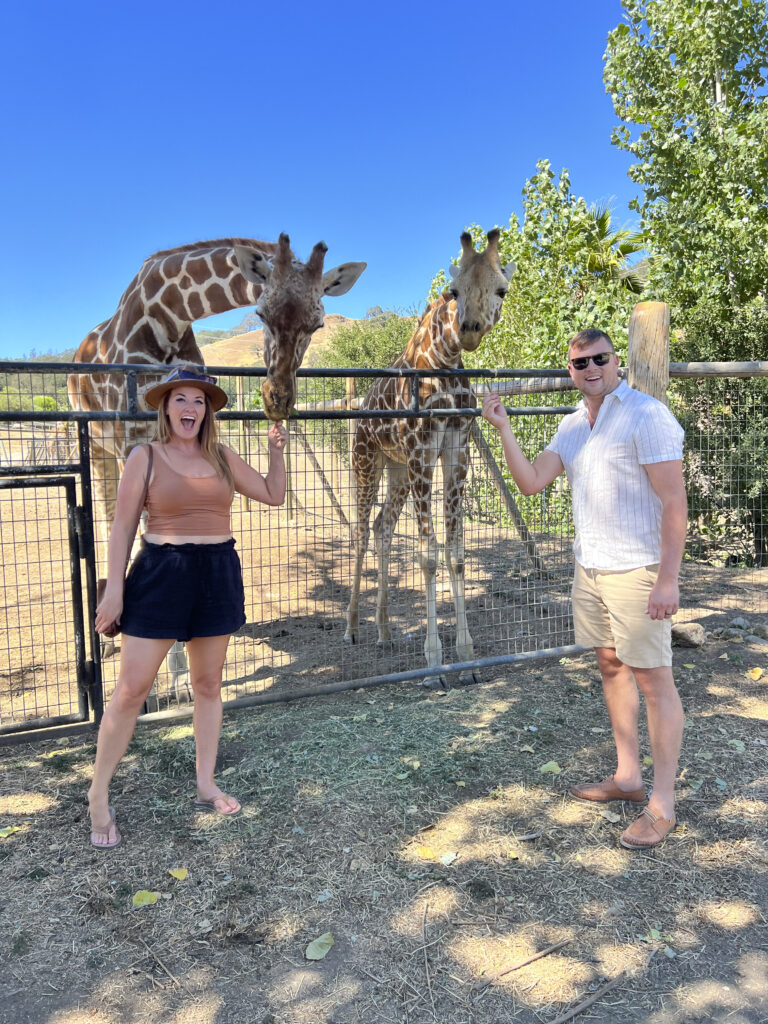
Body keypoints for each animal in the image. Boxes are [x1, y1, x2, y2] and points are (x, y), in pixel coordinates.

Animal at [67, 234, 364, 679]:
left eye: (317, 325)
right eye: (259, 313)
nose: (277, 399)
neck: (166, 315)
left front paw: (180, 669)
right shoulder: (130, 438)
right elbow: (143, 538)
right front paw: (173, 677)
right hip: (96, 443)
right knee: (106, 521)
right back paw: (106, 636)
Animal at [344, 232, 514, 688]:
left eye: (501, 290)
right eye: (452, 290)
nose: (469, 330)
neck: (444, 361)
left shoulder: (457, 451)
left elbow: (456, 553)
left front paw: (467, 657)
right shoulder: (423, 451)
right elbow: (428, 555)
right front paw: (435, 663)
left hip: (398, 470)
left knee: (383, 527)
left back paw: (385, 632)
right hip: (366, 461)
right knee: (361, 532)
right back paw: (352, 627)